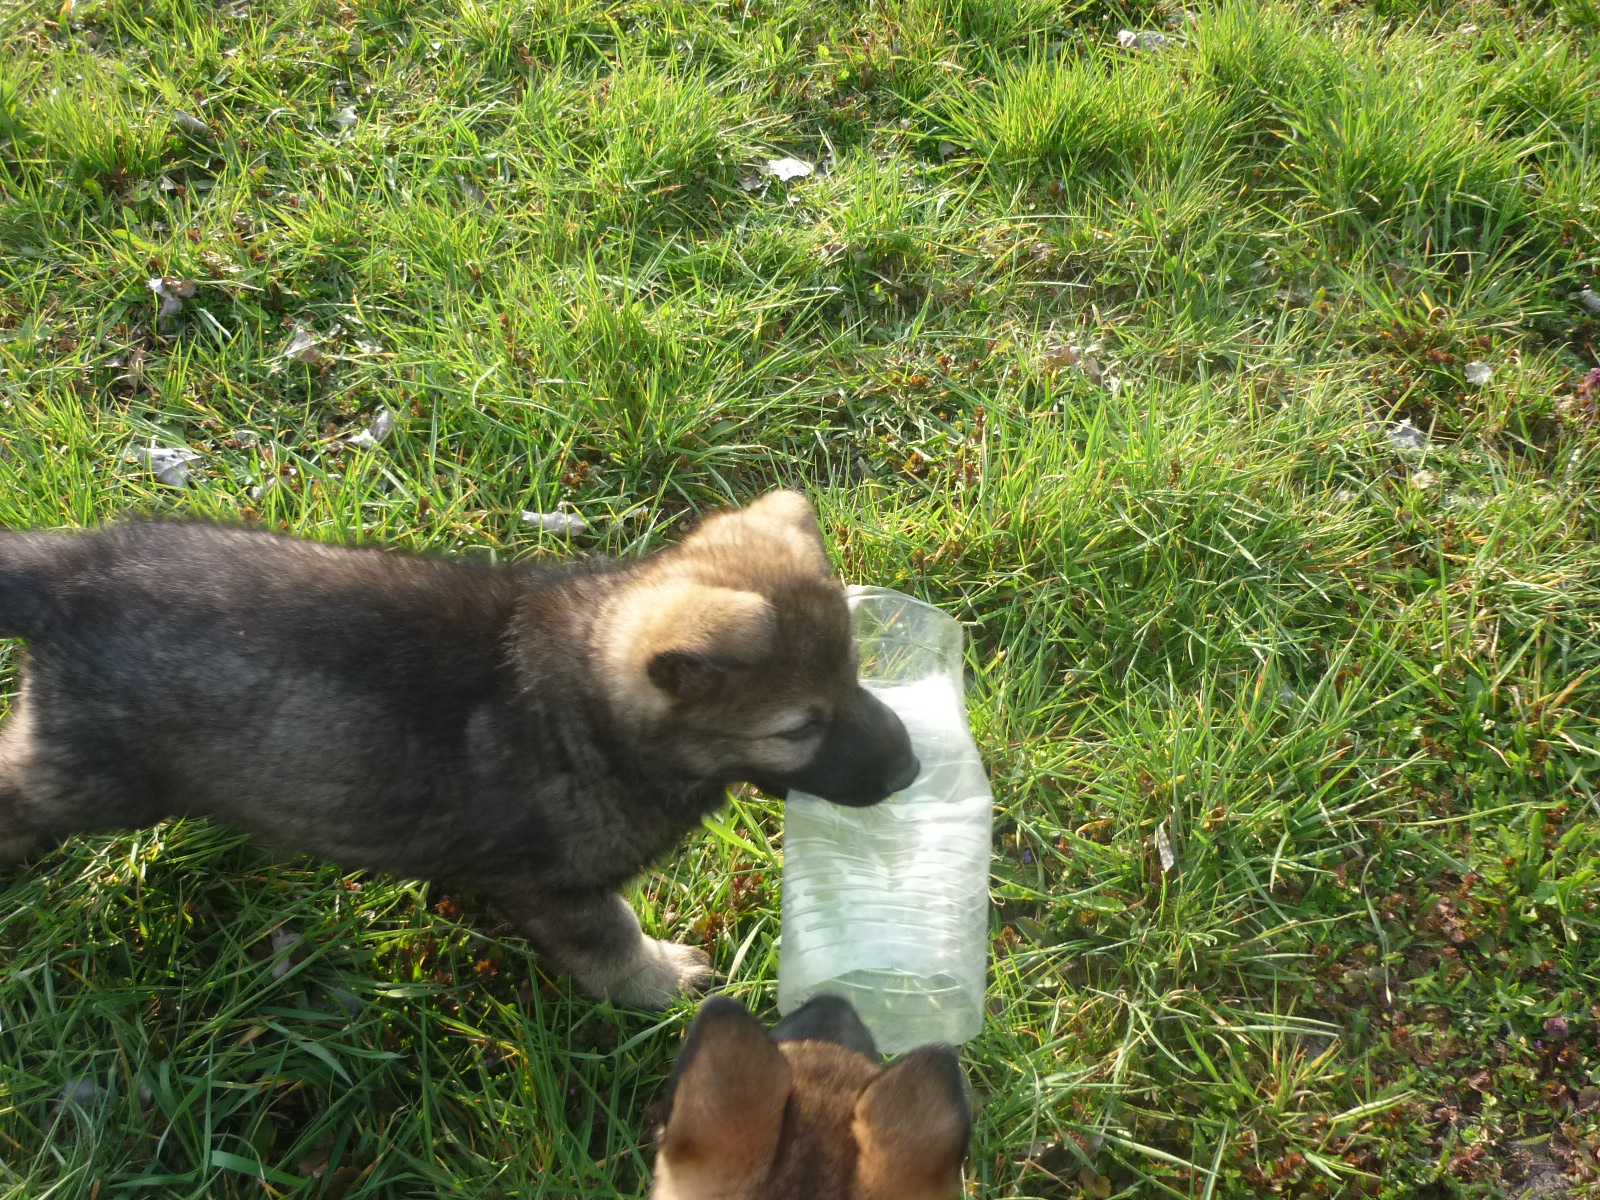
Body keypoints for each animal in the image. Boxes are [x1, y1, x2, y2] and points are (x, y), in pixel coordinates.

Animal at [0, 490, 918, 1008]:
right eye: (797, 729)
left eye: (856, 675)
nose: (911, 768)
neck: (593, 711)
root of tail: (78, 563)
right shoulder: (557, 890)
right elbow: (612, 944)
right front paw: (656, 985)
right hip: (92, 776)